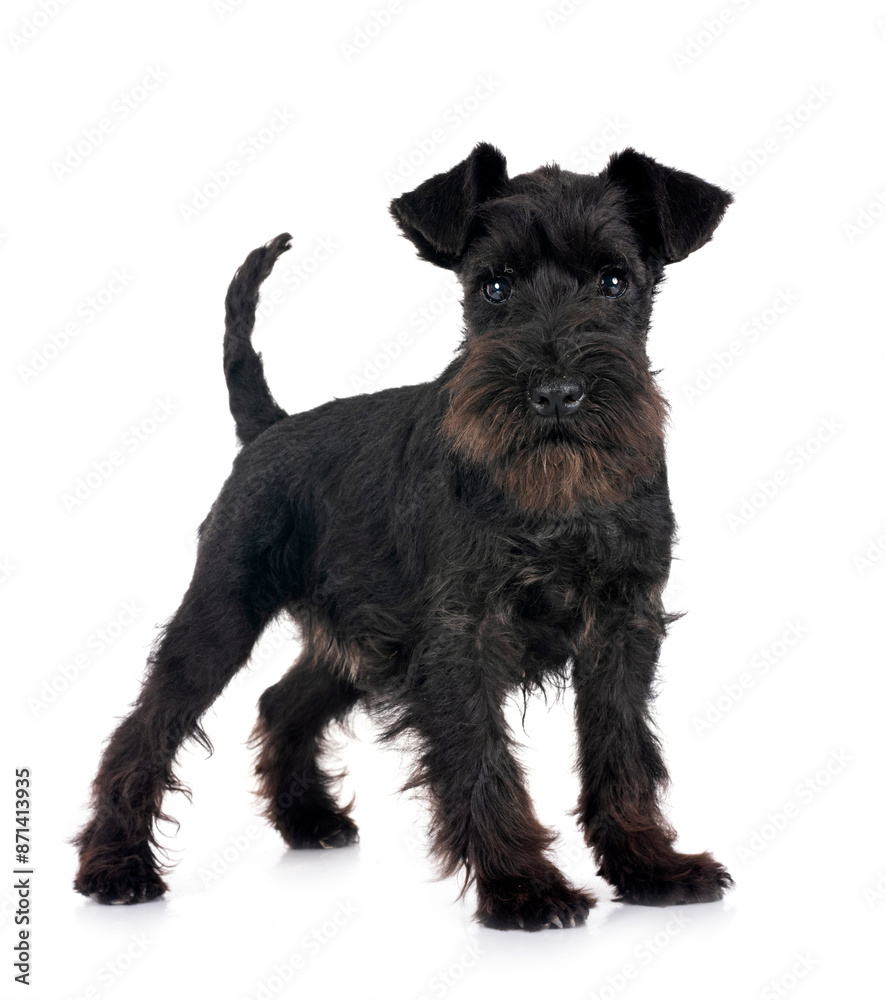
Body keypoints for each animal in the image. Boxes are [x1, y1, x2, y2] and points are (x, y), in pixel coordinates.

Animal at [74, 143, 734, 930]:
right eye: (493, 286)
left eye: (613, 281)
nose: (555, 393)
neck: (555, 497)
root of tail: (269, 428)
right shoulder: (460, 640)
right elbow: (484, 761)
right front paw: (523, 886)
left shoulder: (621, 629)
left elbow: (622, 754)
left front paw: (649, 867)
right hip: (221, 614)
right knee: (145, 726)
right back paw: (116, 866)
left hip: (356, 641)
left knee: (280, 702)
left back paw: (308, 819)